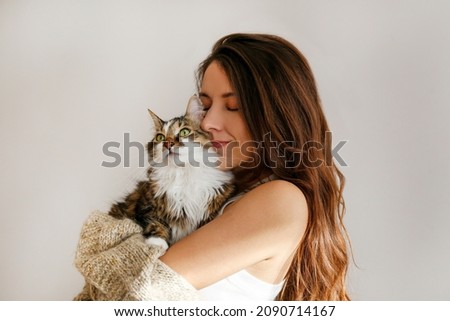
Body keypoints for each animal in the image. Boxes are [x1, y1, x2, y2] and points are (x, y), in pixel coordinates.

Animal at [109, 94, 236, 249]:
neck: (183, 173)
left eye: (184, 132)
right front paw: (157, 244)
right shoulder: (144, 205)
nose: (167, 143)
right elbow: (155, 223)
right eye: (160, 137)